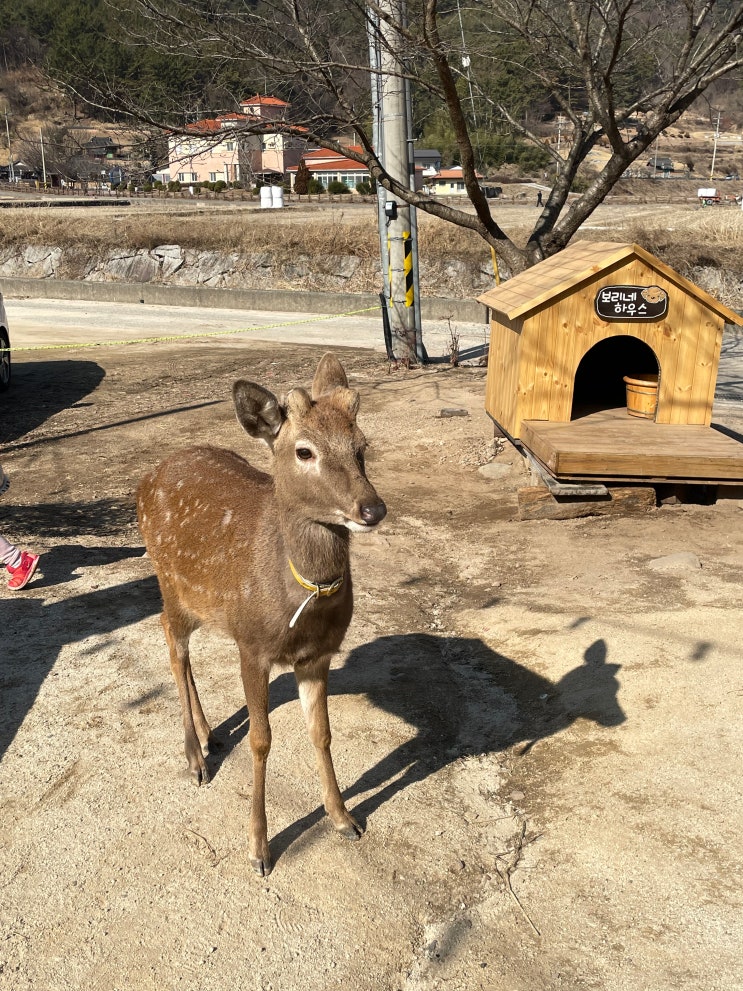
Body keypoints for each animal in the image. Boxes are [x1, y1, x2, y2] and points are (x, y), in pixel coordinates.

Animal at [135, 350, 390, 876]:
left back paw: (210, 736)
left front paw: (344, 818)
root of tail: (142, 482)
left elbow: (322, 733)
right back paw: (195, 756)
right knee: (170, 640)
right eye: (304, 451)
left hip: (206, 605)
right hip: (170, 583)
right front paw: (259, 848)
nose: (372, 509)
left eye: (362, 446)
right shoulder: (252, 646)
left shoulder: (317, 655)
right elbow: (260, 739)